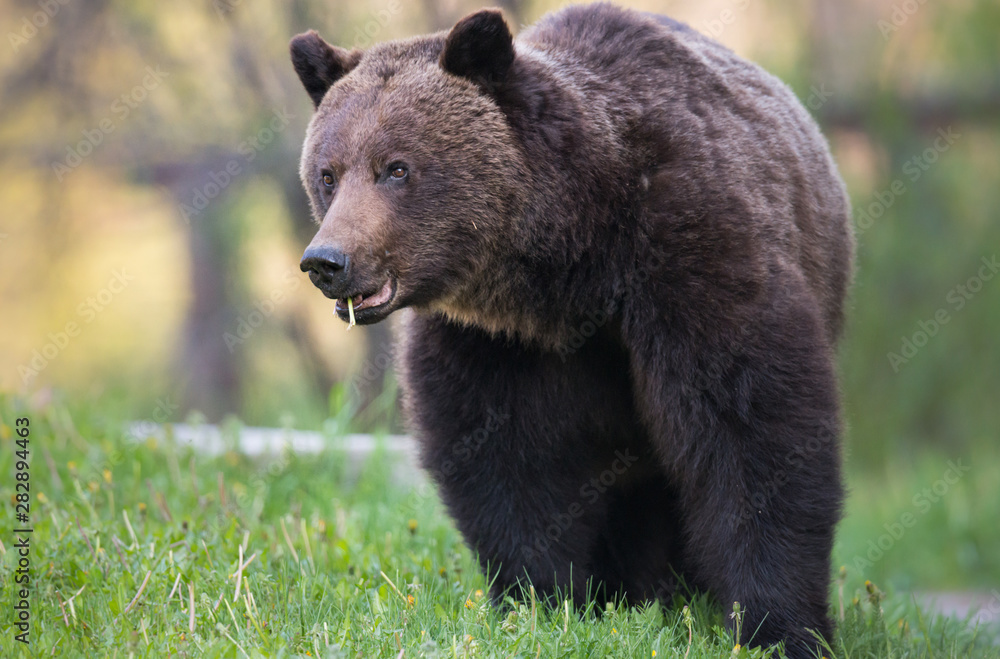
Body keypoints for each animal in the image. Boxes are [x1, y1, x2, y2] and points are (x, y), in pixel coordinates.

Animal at [290, 3, 852, 656]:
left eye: (397, 168)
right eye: (328, 174)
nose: (327, 261)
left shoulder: (694, 253)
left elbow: (751, 429)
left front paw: (778, 626)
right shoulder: (493, 342)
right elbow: (505, 460)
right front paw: (543, 601)